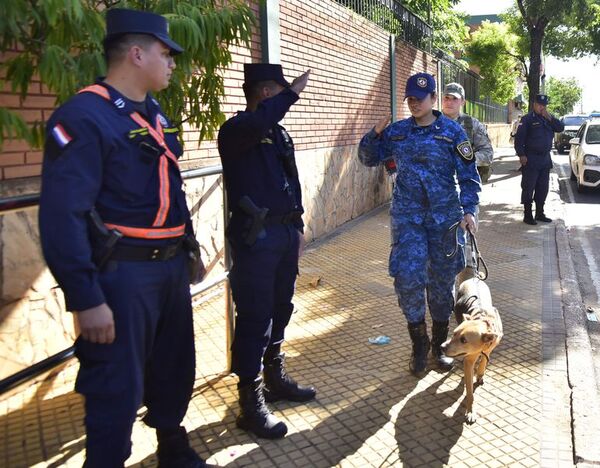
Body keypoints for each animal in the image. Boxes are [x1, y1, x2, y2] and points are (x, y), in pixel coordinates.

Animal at [440, 266, 502, 424]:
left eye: (464, 340)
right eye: (454, 334)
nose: (441, 347)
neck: (483, 322)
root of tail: (472, 277)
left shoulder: (491, 347)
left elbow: (484, 361)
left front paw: (480, 373)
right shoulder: (468, 361)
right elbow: (469, 392)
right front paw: (470, 411)